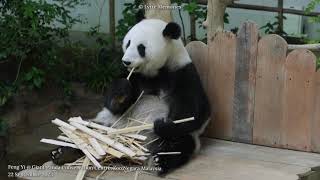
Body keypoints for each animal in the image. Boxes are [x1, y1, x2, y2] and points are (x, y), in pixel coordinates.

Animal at [51, 16, 211, 174]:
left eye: (141, 48)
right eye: (128, 43)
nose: (126, 61)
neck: (155, 73)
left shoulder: (182, 73)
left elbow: (194, 114)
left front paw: (163, 124)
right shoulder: (134, 76)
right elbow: (114, 104)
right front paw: (121, 91)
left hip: (177, 139)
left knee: (179, 144)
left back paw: (159, 160)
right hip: (108, 124)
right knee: (88, 131)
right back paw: (62, 153)